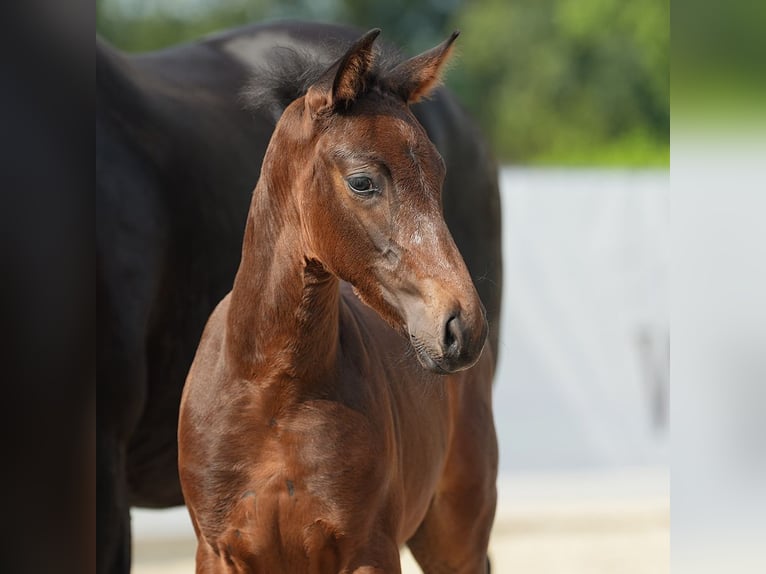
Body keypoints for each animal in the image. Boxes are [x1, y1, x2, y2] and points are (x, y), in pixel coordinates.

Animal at [96, 20, 504, 572]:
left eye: (439, 176)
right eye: (362, 181)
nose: (462, 326)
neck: (273, 390)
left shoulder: (369, 548)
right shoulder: (216, 549)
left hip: (457, 532)